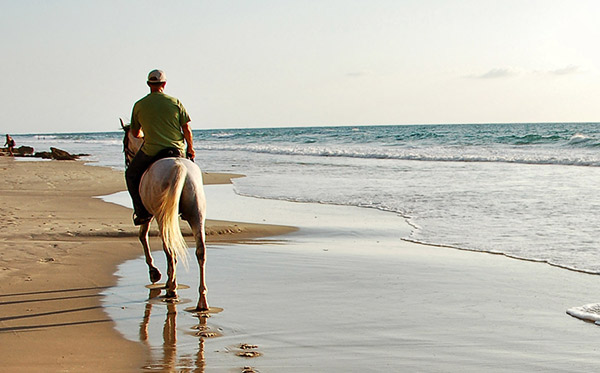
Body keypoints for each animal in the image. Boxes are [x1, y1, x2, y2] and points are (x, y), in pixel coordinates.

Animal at [120, 122, 210, 310]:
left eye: (125, 145)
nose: (127, 162)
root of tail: (179, 167)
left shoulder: (148, 214)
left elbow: (142, 236)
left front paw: (154, 272)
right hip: (197, 214)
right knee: (200, 252)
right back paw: (201, 301)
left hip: (163, 217)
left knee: (170, 250)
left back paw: (172, 288)